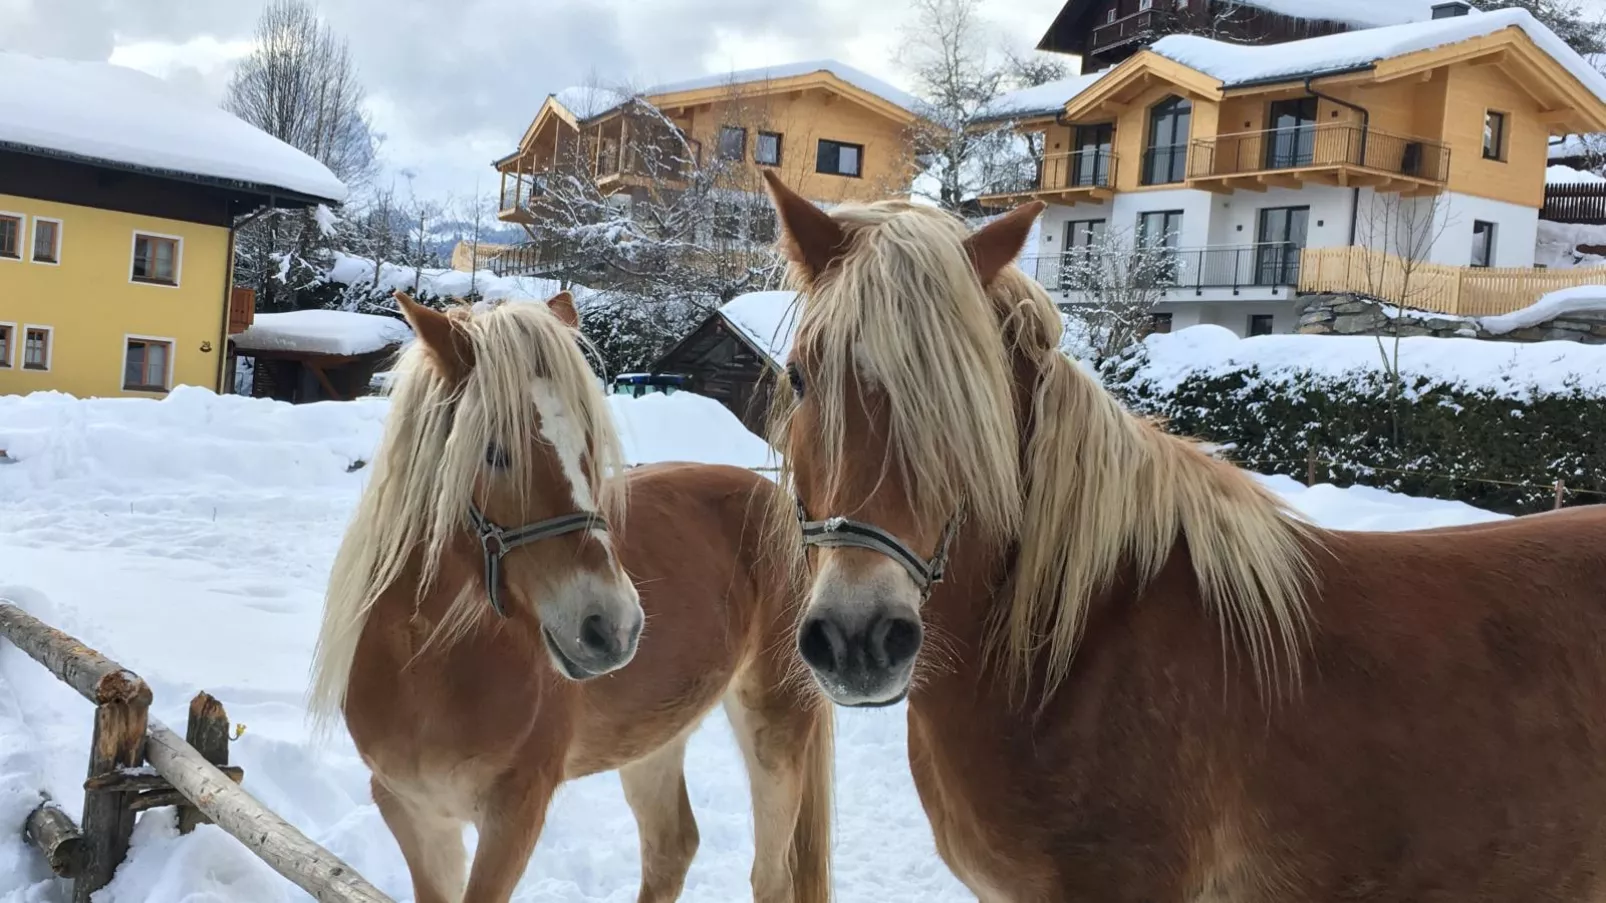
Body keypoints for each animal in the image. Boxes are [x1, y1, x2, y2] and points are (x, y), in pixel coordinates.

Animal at [313, 292, 841, 893]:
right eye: (495, 452)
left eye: (589, 443)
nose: (613, 627)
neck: (422, 663)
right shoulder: (412, 813)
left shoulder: (515, 813)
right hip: (654, 739)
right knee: (671, 848)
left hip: (776, 726)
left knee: (771, 875)